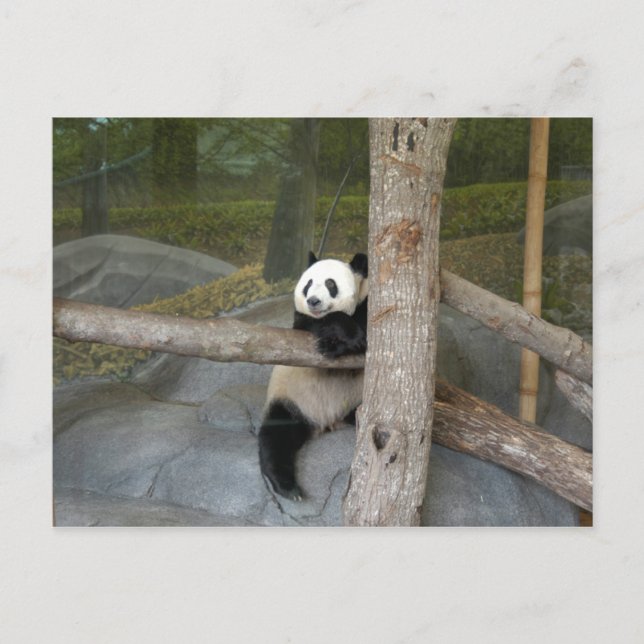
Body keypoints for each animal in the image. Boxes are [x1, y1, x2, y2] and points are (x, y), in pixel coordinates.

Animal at [258, 251, 368, 501]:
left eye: (330, 284)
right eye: (308, 284)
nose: (313, 301)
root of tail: (327, 421)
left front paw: (341, 345)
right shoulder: (301, 324)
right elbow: (313, 324)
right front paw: (344, 340)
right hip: (291, 400)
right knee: (275, 437)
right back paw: (287, 487)